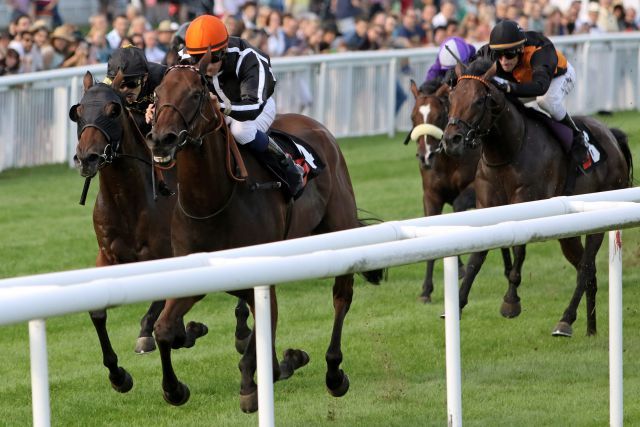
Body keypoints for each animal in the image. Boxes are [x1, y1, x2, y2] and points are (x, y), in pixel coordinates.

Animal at [70, 71, 250, 394]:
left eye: (113, 111)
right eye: (78, 112)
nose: (87, 157)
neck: (129, 201)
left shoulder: (168, 257)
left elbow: (159, 312)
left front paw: (172, 334)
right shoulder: (107, 256)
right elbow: (98, 313)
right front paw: (118, 375)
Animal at [148, 52, 382, 412]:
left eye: (196, 94)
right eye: (157, 94)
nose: (162, 139)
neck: (214, 200)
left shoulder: (261, 279)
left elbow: (256, 344)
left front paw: (251, 386)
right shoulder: (196, 274)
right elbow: (163, 329)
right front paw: (174, 388)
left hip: (339, 228)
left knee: (342, 297)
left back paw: (333, 373)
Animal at [408, 80, 512, 304]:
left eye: (439, 116)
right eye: (413, 117)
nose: (425, 157)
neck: (448, 160)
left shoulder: (474, 190)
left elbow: (458, 209)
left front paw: (460, 267)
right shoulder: (431, 196)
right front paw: (426, 289)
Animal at [440, 58, 632, 338]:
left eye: (478, 101)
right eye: (451, 97)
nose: (451, 141)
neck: (507, 152)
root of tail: (612, 137)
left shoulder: (526, 203)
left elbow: (519, 249)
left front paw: (511, 302)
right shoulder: (487, 206)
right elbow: (478, 256)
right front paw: (458, 303)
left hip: (600, 218)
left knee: (586, 268)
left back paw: (566, 320)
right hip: (569, 233)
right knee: (587, 270)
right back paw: (590, 328)